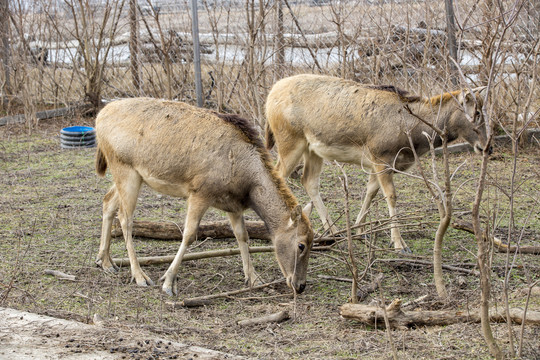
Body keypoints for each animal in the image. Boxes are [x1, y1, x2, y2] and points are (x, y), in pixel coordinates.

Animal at [93, 97, 312, 296]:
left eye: (312, 241)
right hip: (124, 168)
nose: (300, 286)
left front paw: (254, 278)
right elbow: (189, 234)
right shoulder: (200, 192)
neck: (246, 184)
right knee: (125, 218)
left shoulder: (233, 205)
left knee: (107, 201)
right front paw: (168, 282)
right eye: (301, 244)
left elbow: (242, 235)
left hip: (129, 174)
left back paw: (105, 261)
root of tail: (99, 118)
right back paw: (140, 276)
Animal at [266, 73, 490, 253]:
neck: (411, 136)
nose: (486, 147)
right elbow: (391, 196)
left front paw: (360, 230)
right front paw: (399, 244)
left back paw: (333, 231)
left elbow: (371, 191)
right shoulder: (382, 157)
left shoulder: (376, 162)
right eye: (477, 113)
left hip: (313, 149)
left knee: (309, 181)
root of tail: (269, 97)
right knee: (279, 174)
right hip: (290, 140)